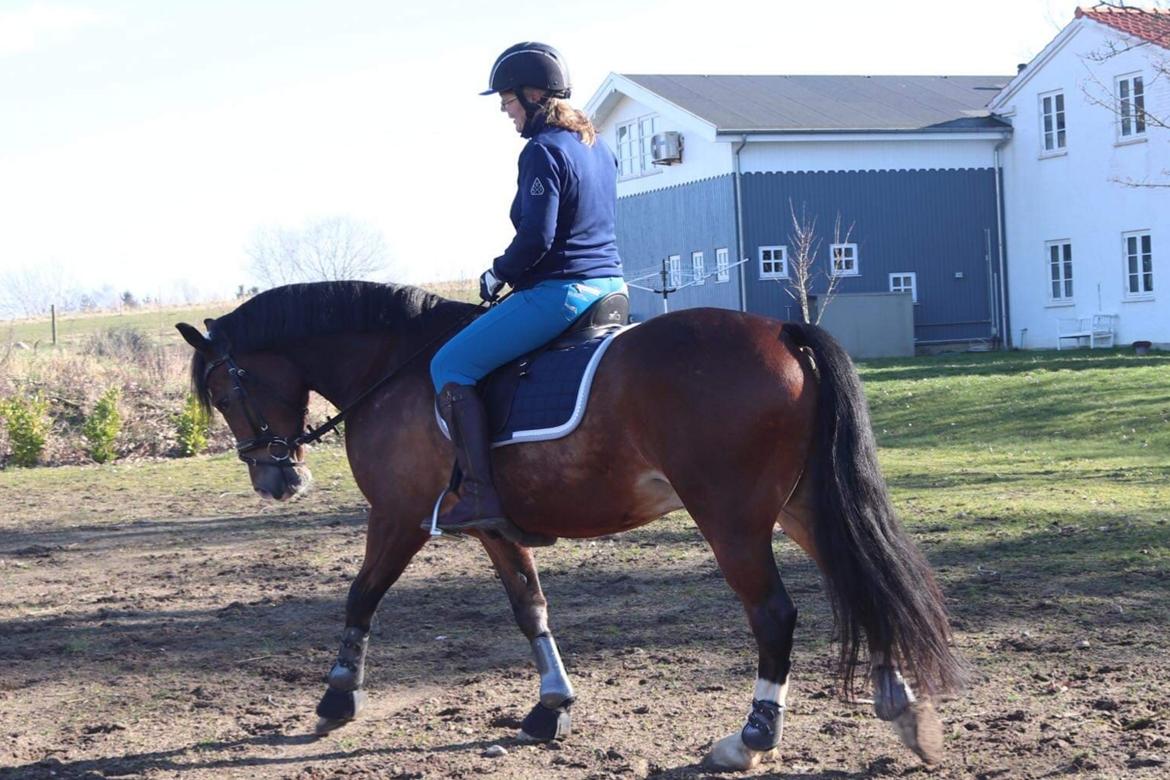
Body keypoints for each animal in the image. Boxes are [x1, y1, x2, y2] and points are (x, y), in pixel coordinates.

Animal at [173, 281, 959, 776]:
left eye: (223, 389)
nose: (276, 480)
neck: (392, 366)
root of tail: (782, 332)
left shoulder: (397, 515)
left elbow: (361, 595)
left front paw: (337, 697)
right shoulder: (495, 529)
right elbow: (530, 608)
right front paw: (551, 708)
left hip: (731, 517)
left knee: (774, 614)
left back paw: (749, 740)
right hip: (801, 506)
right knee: (859, 579)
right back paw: (901, 708)